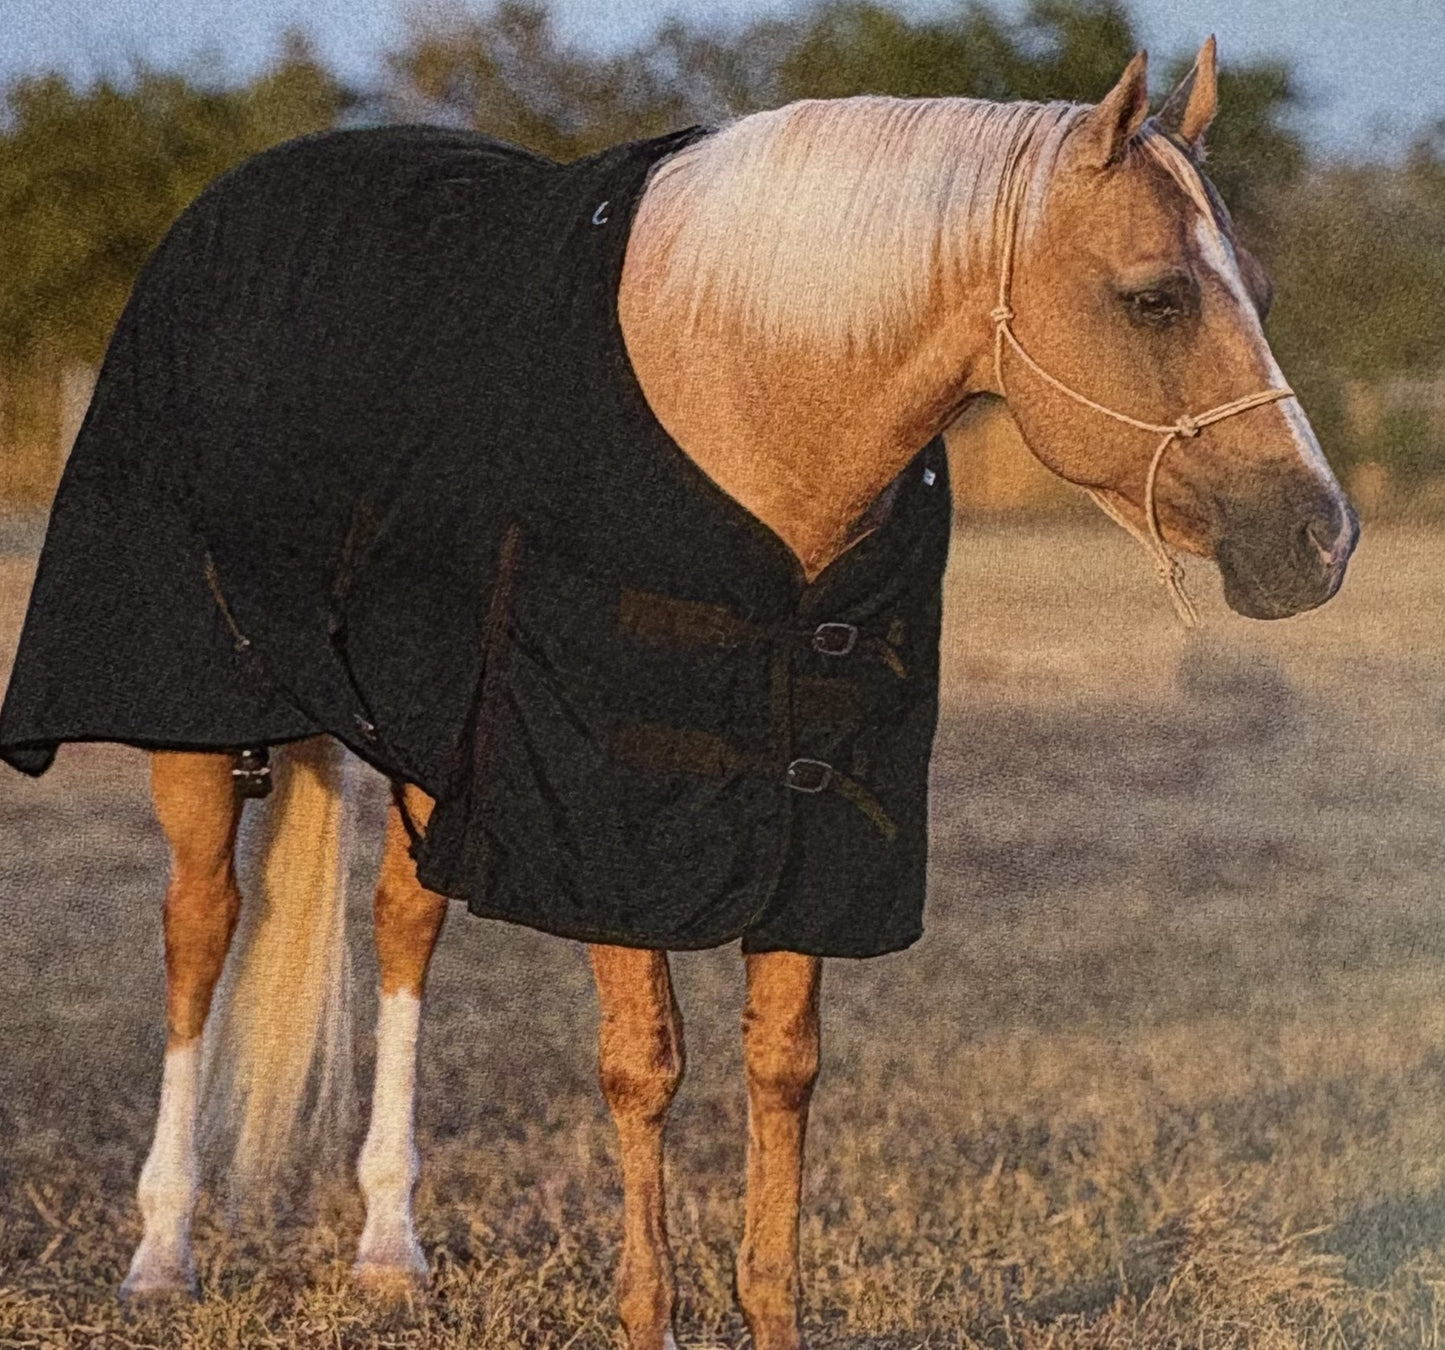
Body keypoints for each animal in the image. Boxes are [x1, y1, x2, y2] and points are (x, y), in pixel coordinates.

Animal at [0, 41, 1356, 1350]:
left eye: (1261, 290)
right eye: (1153, 298)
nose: (1318, 539)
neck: (741, 399)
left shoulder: (811, 822)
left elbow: (784, 1066)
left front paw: (770, 1311)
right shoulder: (603, 810)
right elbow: (643, 1066)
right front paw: (649, 1314)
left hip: (427, 749)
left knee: (400, 928)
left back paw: (388, 1246)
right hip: (198, 729)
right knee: (199, 933)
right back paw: (161, 1252)